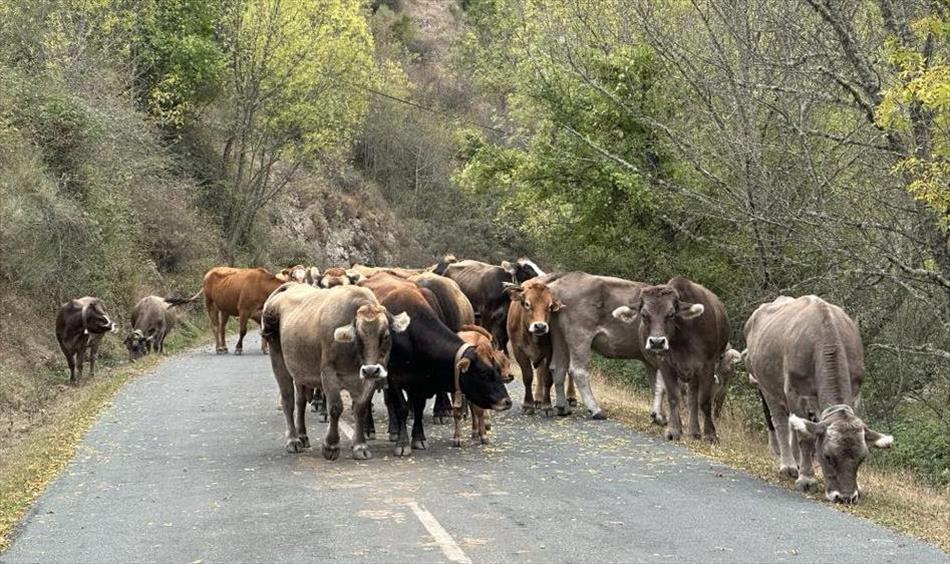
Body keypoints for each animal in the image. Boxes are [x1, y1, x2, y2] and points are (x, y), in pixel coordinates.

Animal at [261, 283, 409, 459]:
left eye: (386, 335)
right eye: (358, 336)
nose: (370, 370)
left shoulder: (367, 380)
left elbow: (361, 409)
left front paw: (359, 445)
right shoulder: (328, 374)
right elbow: (335, 407)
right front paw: (330, 446)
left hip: (300, 372)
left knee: (300, 401)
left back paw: (302, 436)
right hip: (279, 361)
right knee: (288, 401)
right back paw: (293, 440)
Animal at [359, 273, 512, 456]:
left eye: (497, 369)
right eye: (482, 373)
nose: (507, 401)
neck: (411, 333)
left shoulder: (418, 380)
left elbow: (418, 407)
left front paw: (419, 438)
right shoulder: (393, 378)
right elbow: (402, 407)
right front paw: (403, 443)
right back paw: (370, 429)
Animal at [505, 278, 564, 414]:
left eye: (550, 306)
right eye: (527, 304)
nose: (540, 326)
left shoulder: (550, 352)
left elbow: (547, 378)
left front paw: (547, 404)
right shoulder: (518, 351)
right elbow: (528, 377)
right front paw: (528, 404)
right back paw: (537, 399)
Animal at [611, 277, 729, 442]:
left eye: (672, 314)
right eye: (644, 314)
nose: (657, 342)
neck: (682, 339)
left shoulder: (708, 365)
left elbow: (705, 401)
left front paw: (710, 435)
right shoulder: (665, 364)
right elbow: (673, 397)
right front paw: (674, 430)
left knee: (694, 399)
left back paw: (695, 431)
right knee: (690, 398)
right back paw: (691, 430)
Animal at [744, 295, 893, 502]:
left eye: (862, 458)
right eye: (828, 456)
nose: (845, 497)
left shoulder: (855, 394)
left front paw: (860, 486)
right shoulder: (796, 394)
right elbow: (805, 437)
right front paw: (807, 479)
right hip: (767, 386)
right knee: (780, 423)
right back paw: (789, 465)